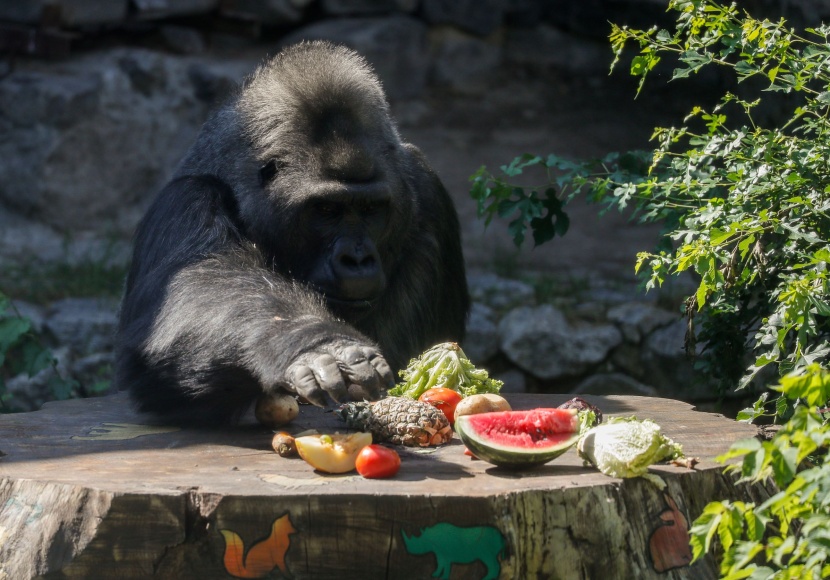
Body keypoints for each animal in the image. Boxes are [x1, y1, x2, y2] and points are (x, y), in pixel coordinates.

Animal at [114, 38, 472, 424]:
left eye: (371, 209)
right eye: (327, 210)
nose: (357, 258)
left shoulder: (424, 185)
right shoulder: (186, 200)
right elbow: (199, 292)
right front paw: (314, 341)